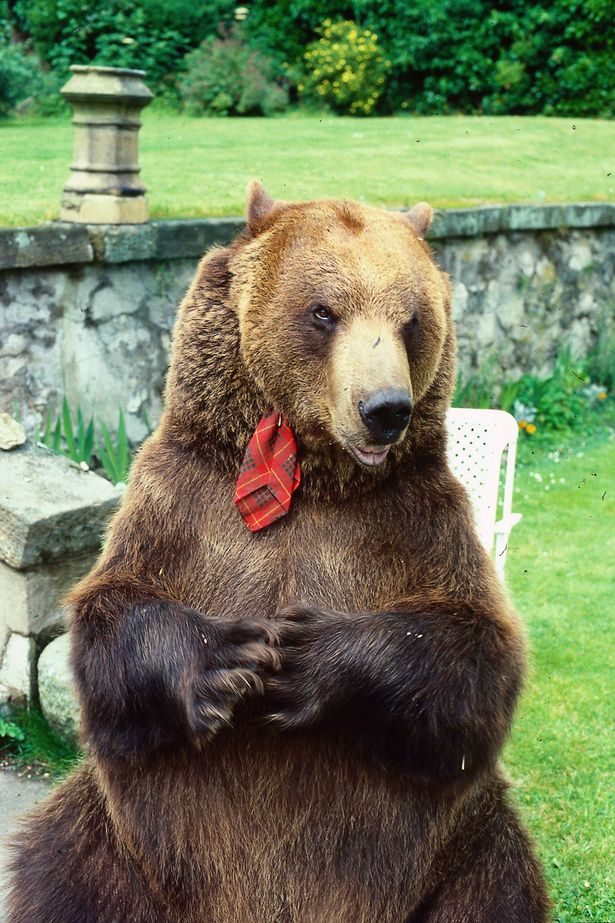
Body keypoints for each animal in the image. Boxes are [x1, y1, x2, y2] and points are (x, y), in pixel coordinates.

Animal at [7, 184, 549, 923]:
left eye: (411, 318)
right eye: (323, 311)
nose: (386, 408)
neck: (310, 476)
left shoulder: (419, 523)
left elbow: (474, 654)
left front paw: (304, 659)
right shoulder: (181, 499)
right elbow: (112, 618)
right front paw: (229, 657)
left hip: (463, 852)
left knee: (499, 882)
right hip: (120, 850)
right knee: (57, 866)